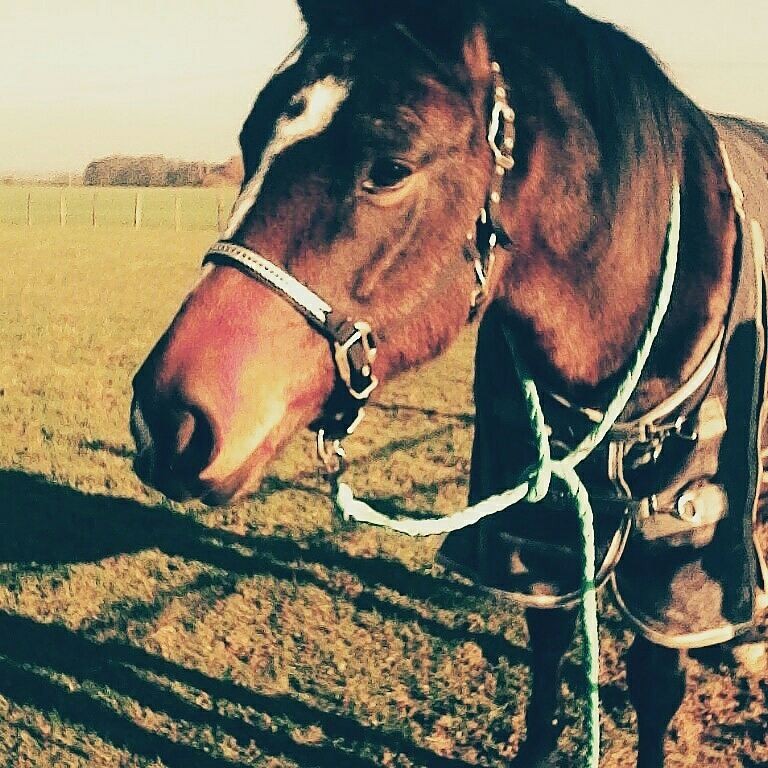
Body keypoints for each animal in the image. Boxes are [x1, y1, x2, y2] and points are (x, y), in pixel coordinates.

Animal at [129, 1, 768, 766]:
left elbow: (655, 684)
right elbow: (547, 654)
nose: (168, 418)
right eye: (252, 146)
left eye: (390, 168)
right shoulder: (536, 526)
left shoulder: (675, 552)